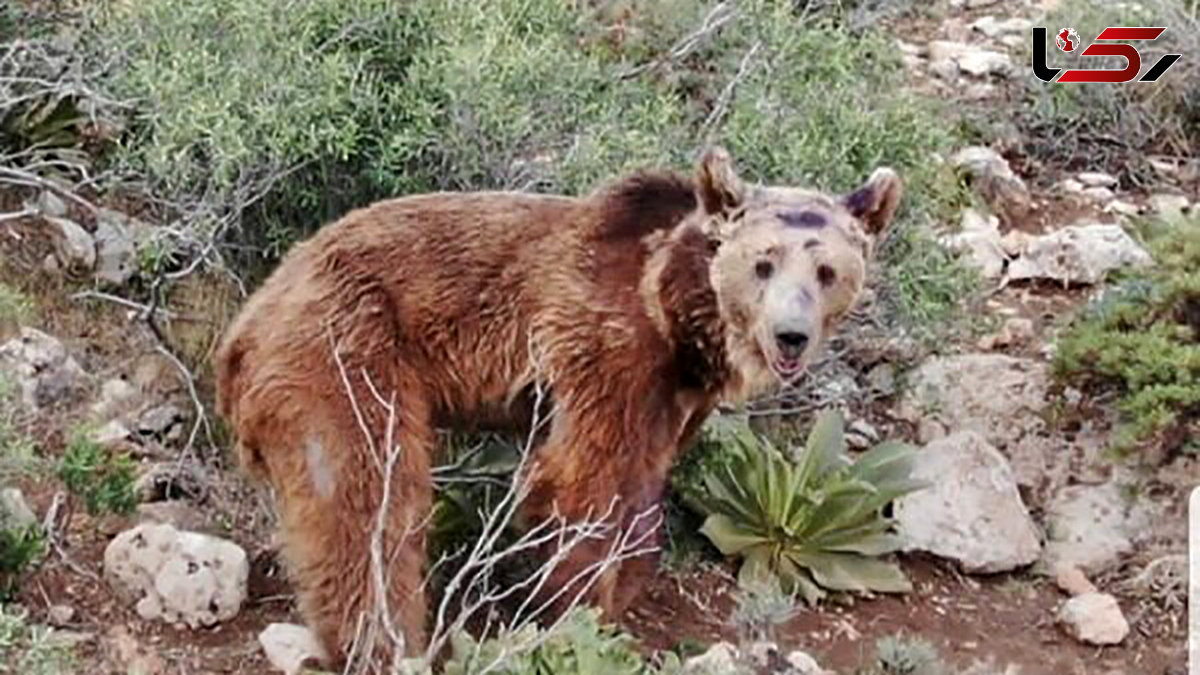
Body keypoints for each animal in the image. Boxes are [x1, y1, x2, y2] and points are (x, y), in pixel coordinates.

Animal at [213, 144, 902, 662]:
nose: (791, 335)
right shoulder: (604, 344)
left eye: (827, 272)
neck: (678, 314)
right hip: (345, 348)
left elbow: (644, 485)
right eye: (763, 263)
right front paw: (577, 608)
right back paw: (386, 639)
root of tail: (242, 329)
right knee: (368, 498)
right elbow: (585, 481)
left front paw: (622, 589)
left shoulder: (674, 394)